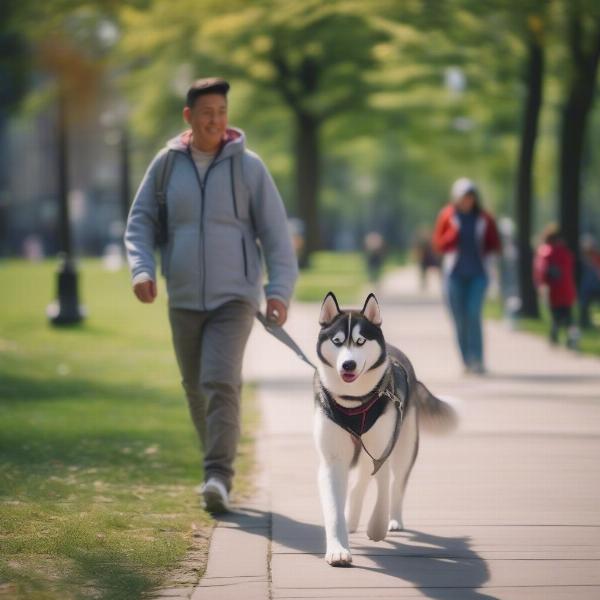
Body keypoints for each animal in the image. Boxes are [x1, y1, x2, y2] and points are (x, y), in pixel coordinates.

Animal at [312, 290, 458, 568]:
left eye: (360, 341)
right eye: (337, 341)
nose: (348, 365)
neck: (354, 402)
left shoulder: (382, 447)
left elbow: (382, 488)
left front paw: (377, 527)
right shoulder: (332, 457)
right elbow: (333, 507)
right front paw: (338, 549)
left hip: (405, 446)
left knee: (396, 483)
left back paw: (394, 520)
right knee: (360, 481)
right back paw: (352, 518)